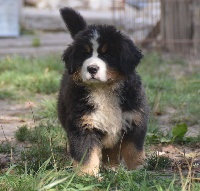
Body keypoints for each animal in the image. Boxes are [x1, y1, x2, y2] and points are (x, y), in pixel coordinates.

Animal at [57, 7, 148, 176]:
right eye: (84, 54)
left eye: (107, 54)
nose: (92, 68)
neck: (104, 90)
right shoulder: (83, 125)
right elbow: (86, 154)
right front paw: (87, 175)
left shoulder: (134, 119)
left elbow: (133, 149)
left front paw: (137, 169)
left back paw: (112, 168)